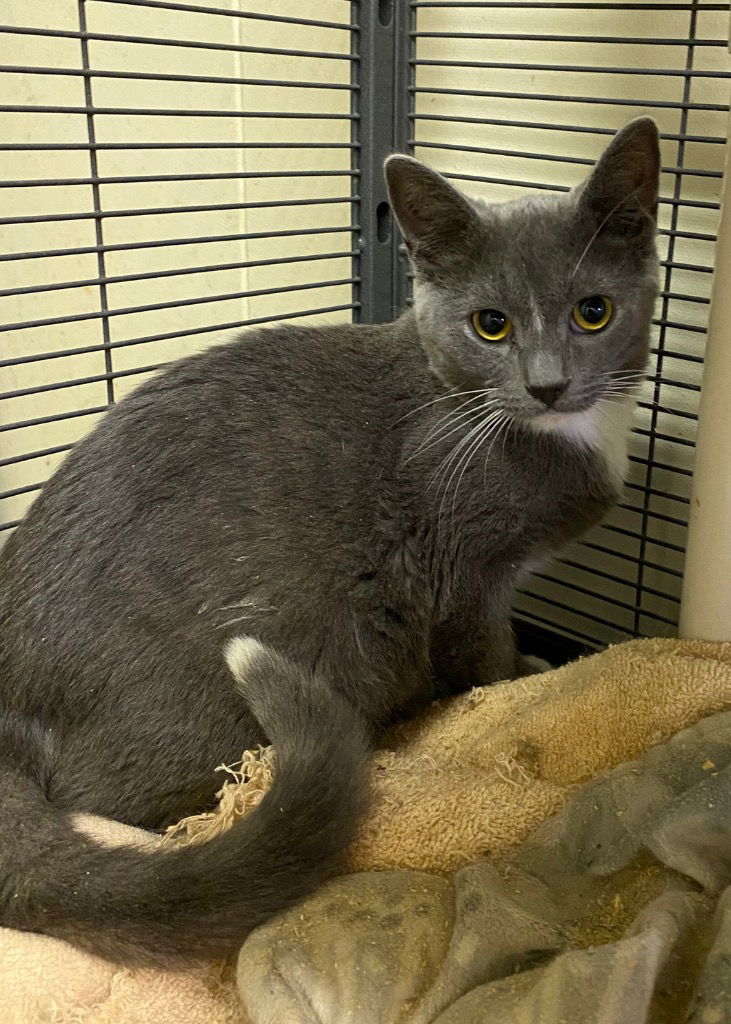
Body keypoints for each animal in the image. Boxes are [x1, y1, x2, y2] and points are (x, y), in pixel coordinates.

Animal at [0, 116, 659, 962]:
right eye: (491, 324)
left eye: (592, 312)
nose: (547, 385)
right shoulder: (464, 572)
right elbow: (485, 658)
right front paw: (519, 678)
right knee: (103, 803)